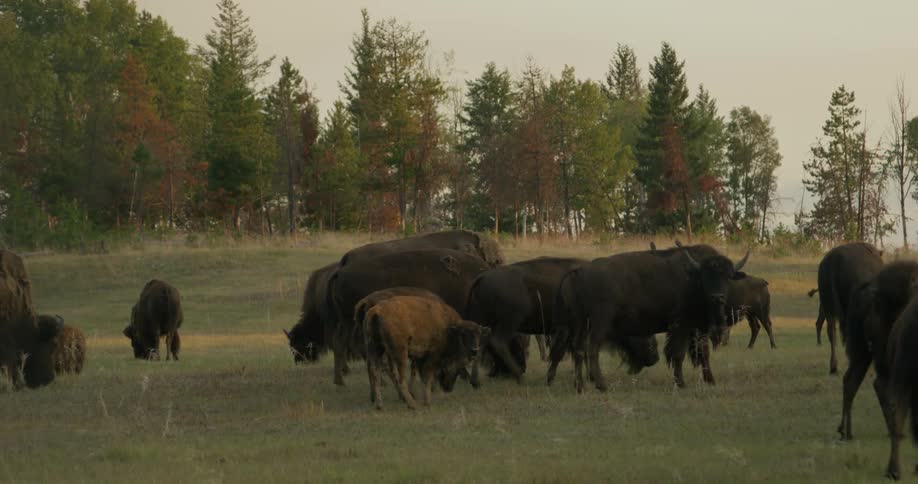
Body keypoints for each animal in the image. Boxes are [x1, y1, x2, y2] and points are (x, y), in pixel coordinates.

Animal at [547, 242, 747, 393]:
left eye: (728, 276)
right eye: (707, 276)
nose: (718, 297)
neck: (693, 276)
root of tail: (579, 271)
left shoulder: (696, 328)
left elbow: (703, 353)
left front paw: (710, 381)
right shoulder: (681, 325)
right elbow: (678, 354)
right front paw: (681, 384)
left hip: (579, 323)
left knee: (578, 350)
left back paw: (579, 387)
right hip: (599, 323)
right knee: (592, 349)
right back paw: (601, 385)